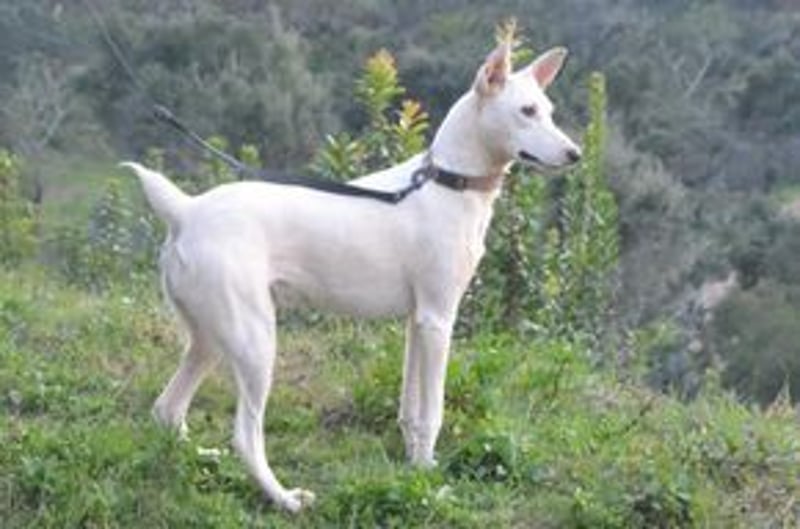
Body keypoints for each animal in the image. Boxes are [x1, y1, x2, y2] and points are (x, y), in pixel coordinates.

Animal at [122, 38, 581, 513]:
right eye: (527, 111)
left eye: (548, 110)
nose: (575, 155)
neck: (445, 182)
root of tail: (186, 210)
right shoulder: (438, 320)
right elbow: (432, 412)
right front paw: (429, 484)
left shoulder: (418, 322)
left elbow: (410, 410)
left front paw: (416, 469)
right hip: (255, 342)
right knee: (245, 436)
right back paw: (285, 499)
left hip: (210, 340)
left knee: (167, 410)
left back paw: (202, 460)